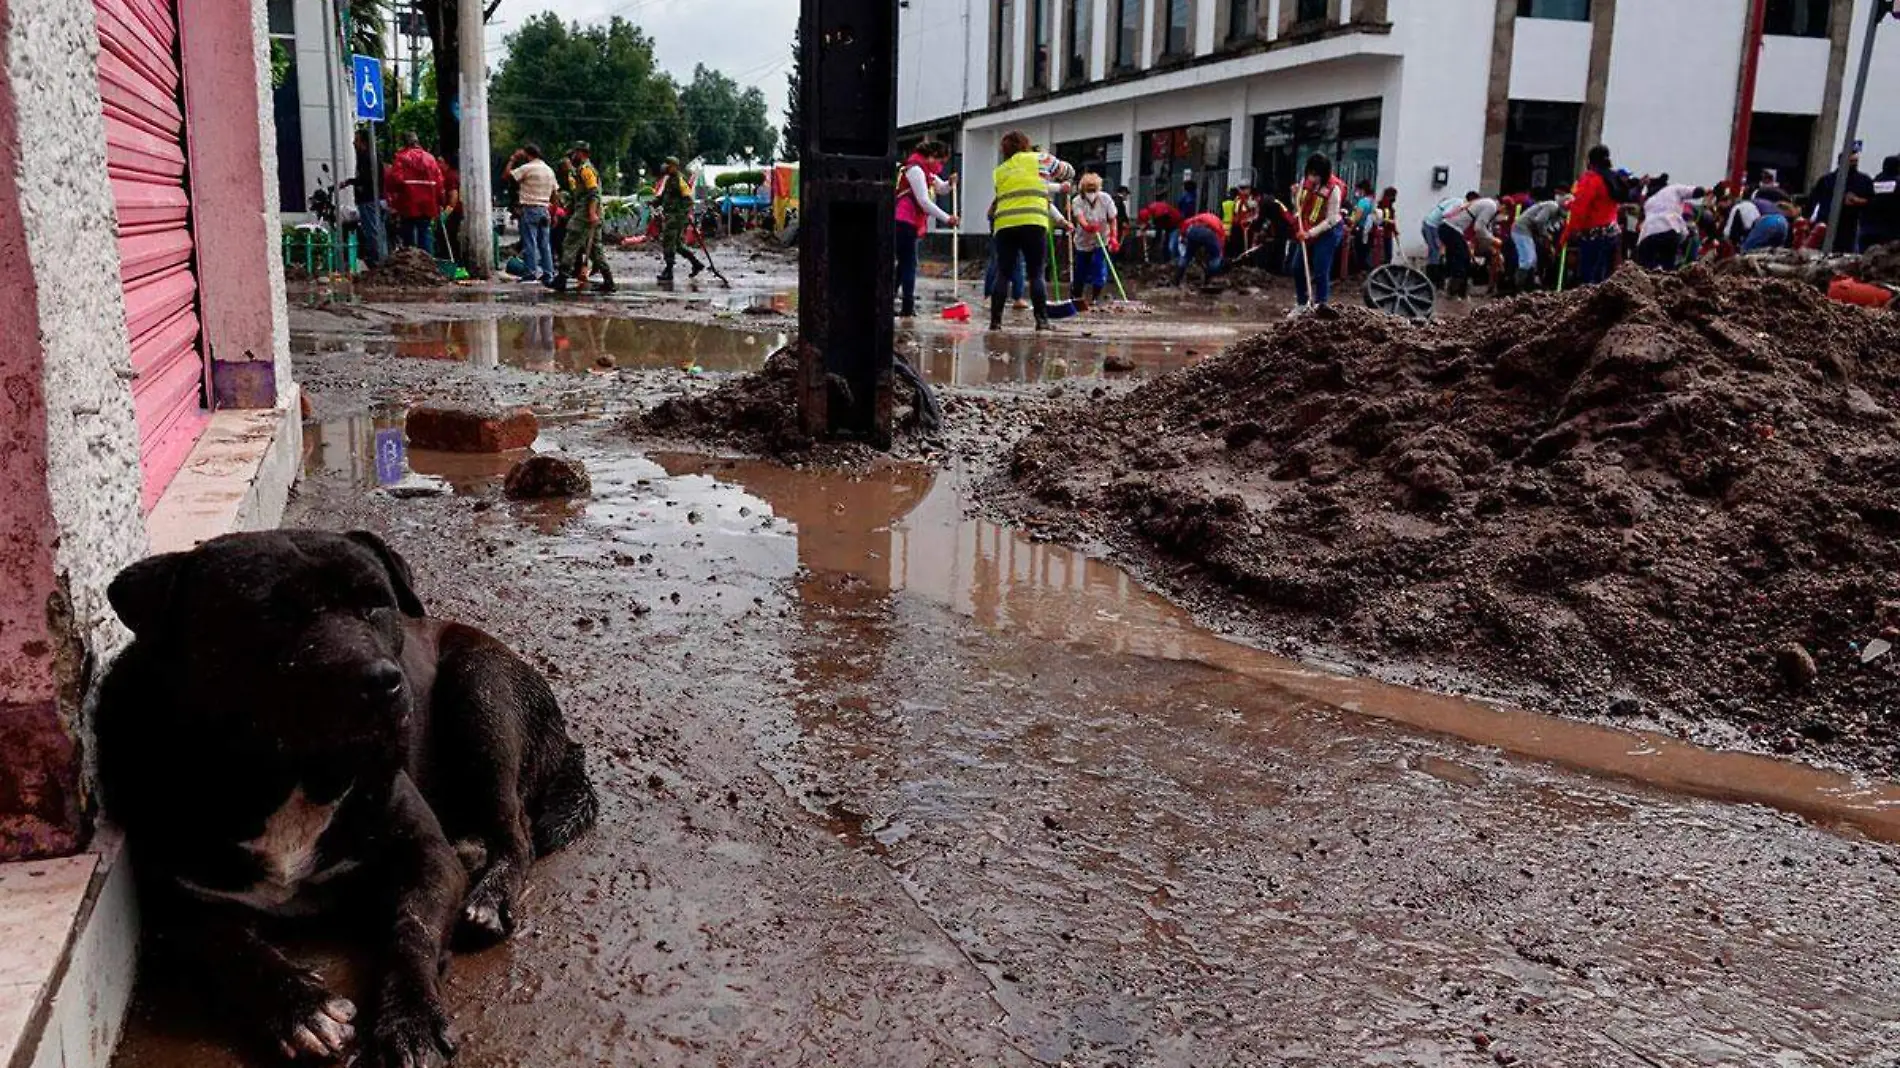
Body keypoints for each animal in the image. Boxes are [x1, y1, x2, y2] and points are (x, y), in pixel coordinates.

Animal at [96, 528, 596, 1056]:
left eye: (376, 604)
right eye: (270, 613)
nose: (380, 680)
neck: (292, 782)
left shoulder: (425, 855)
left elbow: (411, 932)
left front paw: (411, 1016)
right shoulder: (173, 900)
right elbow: (230, 947)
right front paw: (299, 1007)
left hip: (482, 694)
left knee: (515, 830)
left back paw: (490, 895)